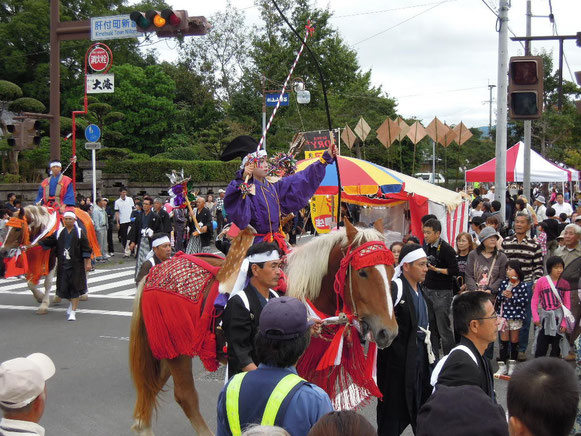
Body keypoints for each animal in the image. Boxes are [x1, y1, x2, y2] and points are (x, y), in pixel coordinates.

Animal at [129, 220, 396, 434]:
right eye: (363, 273)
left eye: (392, 269)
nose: (388, 332)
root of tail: (155, 270)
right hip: (176, 346)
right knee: (186, 397)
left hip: (168, 348)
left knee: (150, 388)